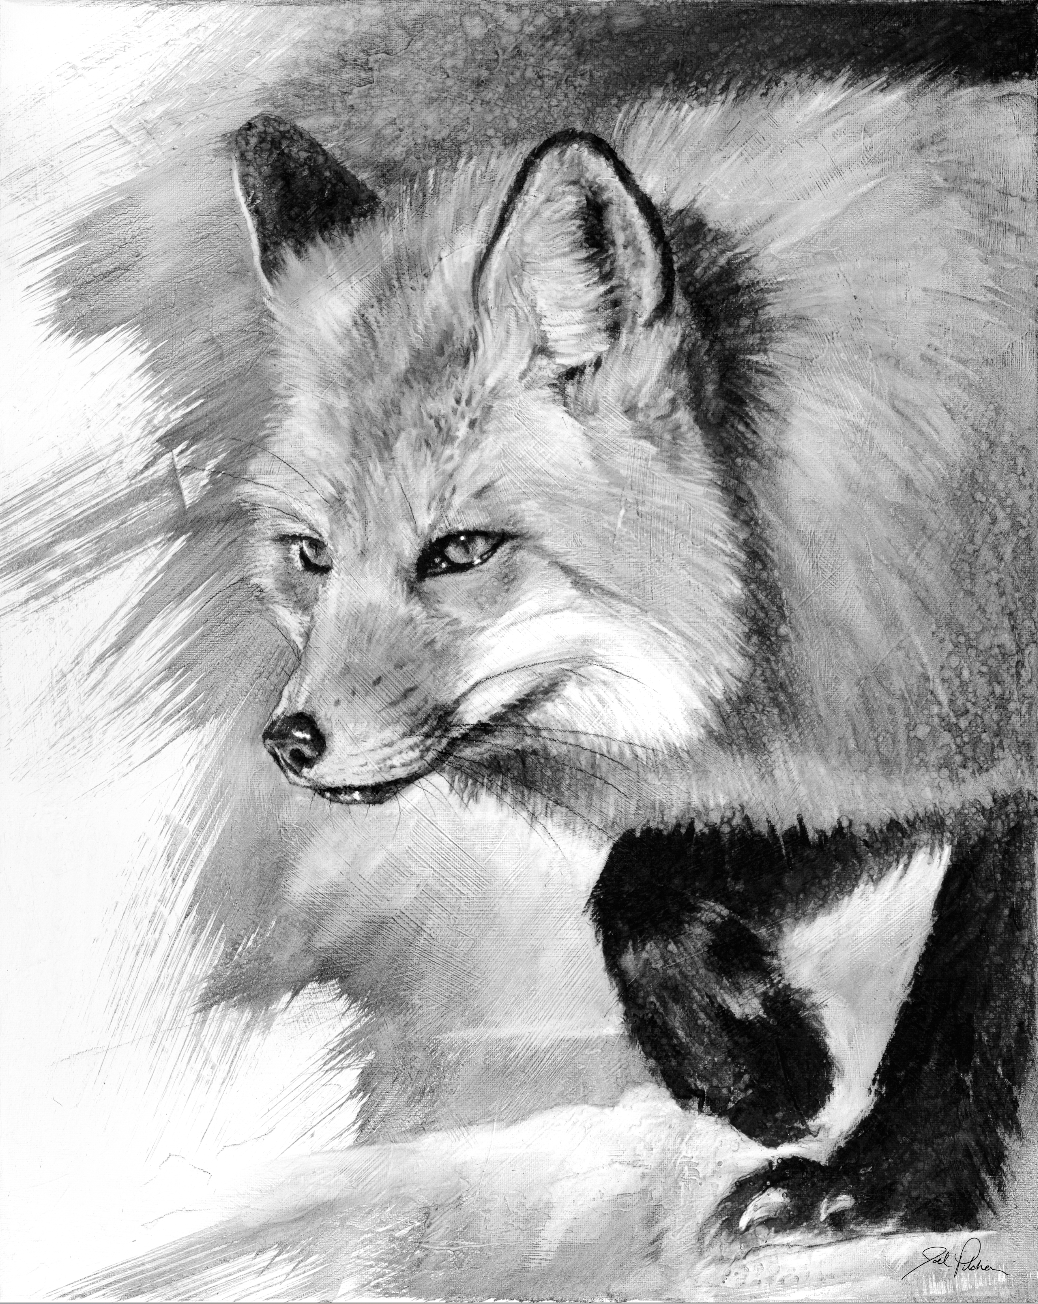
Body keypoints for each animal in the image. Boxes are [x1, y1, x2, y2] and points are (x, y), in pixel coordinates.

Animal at [49, 74, 1036, 1300]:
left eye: (462, 551)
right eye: (310, 554)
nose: (293, 741)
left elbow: (973, 988)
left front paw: (891, 1176)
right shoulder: (893, 725)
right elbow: (637, 889)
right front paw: (762, 1075)